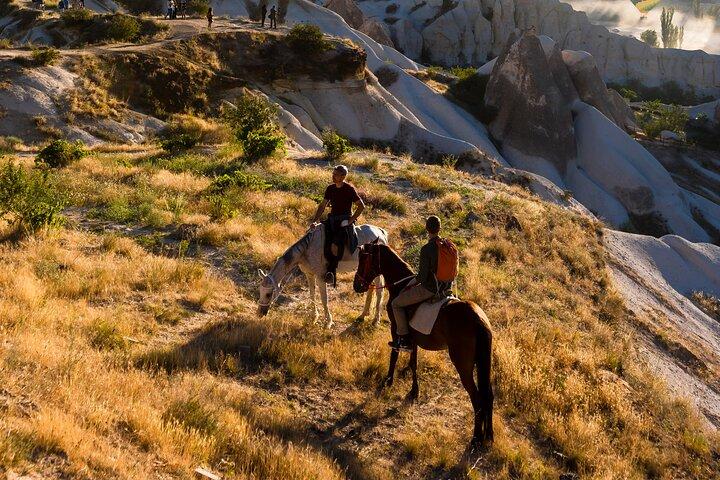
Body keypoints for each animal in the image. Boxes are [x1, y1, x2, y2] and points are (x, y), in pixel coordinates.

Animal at [257, 223, 388, 328]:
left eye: (269, 294)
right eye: (260, 291)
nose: (259, 313)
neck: (306, 250)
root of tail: (381, 232)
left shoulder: (321, 277)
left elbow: (324, 299)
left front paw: (328, 322)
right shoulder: (309, 275)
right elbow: (312, 295)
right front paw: (314, 317)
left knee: (379, 291)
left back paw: (375, 321)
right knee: (371, 288)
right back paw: (362, 315)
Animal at [353, 242, 494, 447]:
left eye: (364, 259)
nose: (357, 286)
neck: (401, 285)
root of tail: (477, 319)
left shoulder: (396, 329)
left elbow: (395, 355)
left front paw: (388, 380)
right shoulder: (414, 339)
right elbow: (413, 363)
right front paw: (414, 391)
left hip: (463, 365)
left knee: (477, 398)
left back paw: (476, 438)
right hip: (484, 363)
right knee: (488, 395)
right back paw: (489, 436)